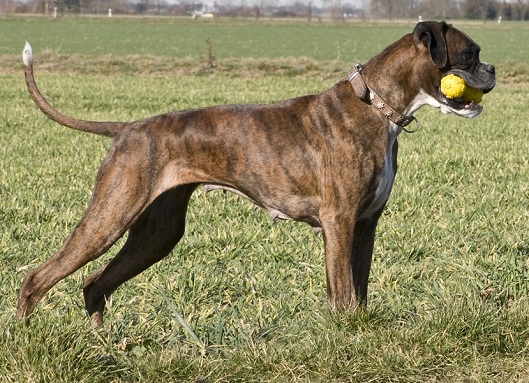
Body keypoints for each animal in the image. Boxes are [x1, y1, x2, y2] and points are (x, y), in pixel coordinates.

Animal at [17, 21, 496, 328]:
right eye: (470, 54)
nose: (493, 69)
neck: (374, 105)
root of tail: (128, 128)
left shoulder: (365, 225)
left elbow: (357, 290)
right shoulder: (339, 222)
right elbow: (342, 292)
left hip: (156, 234)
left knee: (94, 284)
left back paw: (104, 346)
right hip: (110, 216)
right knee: (38, 278)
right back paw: (26, 337)